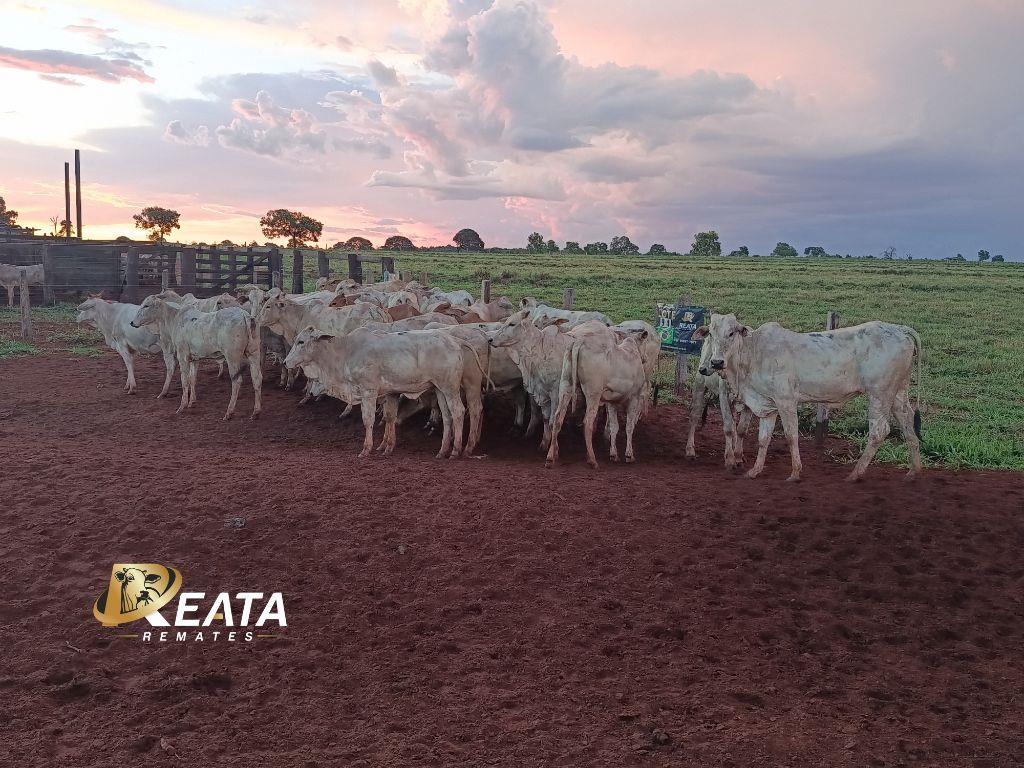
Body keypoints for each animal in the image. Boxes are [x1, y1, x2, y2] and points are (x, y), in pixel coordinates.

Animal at [131, 293, 263, 420]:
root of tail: (245, 315)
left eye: (146, 305)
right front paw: (192, 402)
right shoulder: (195, 358)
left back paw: (229, 412)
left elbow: (184, 380)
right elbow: (192, 378)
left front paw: (182, 406)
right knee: (257, 378)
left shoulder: (182, 355)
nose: (132, 322)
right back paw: (256, 412)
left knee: (237, 381)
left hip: (232, 357)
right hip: (254, 353)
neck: (173, 319)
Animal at [283, 326, 467, 458]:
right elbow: (389, 417)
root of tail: (454, 341)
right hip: (439, 389)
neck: (344, 353)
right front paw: (387, 447)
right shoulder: (390, 393)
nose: (285, 362)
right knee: (447, 416)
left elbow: (368, 419)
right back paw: (442, 450)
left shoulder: (368, 392)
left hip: (450, 388)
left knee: (458, 411)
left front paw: (366, 449)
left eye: (301, 342)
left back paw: (455, 450)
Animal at [692, 313, 923, 482]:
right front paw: (755, 471)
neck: (753, 354)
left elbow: (791, 436)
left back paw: (855, 473)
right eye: (710, 333)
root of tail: (900, 329)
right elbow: (763, 439)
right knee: (908, 422)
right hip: (898, 393)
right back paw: (913, 471)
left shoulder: (786, 401)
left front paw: (795, 473)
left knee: (879, 431)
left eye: (731, 332)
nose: (716, 362)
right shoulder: (768, 407)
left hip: (879, 394)